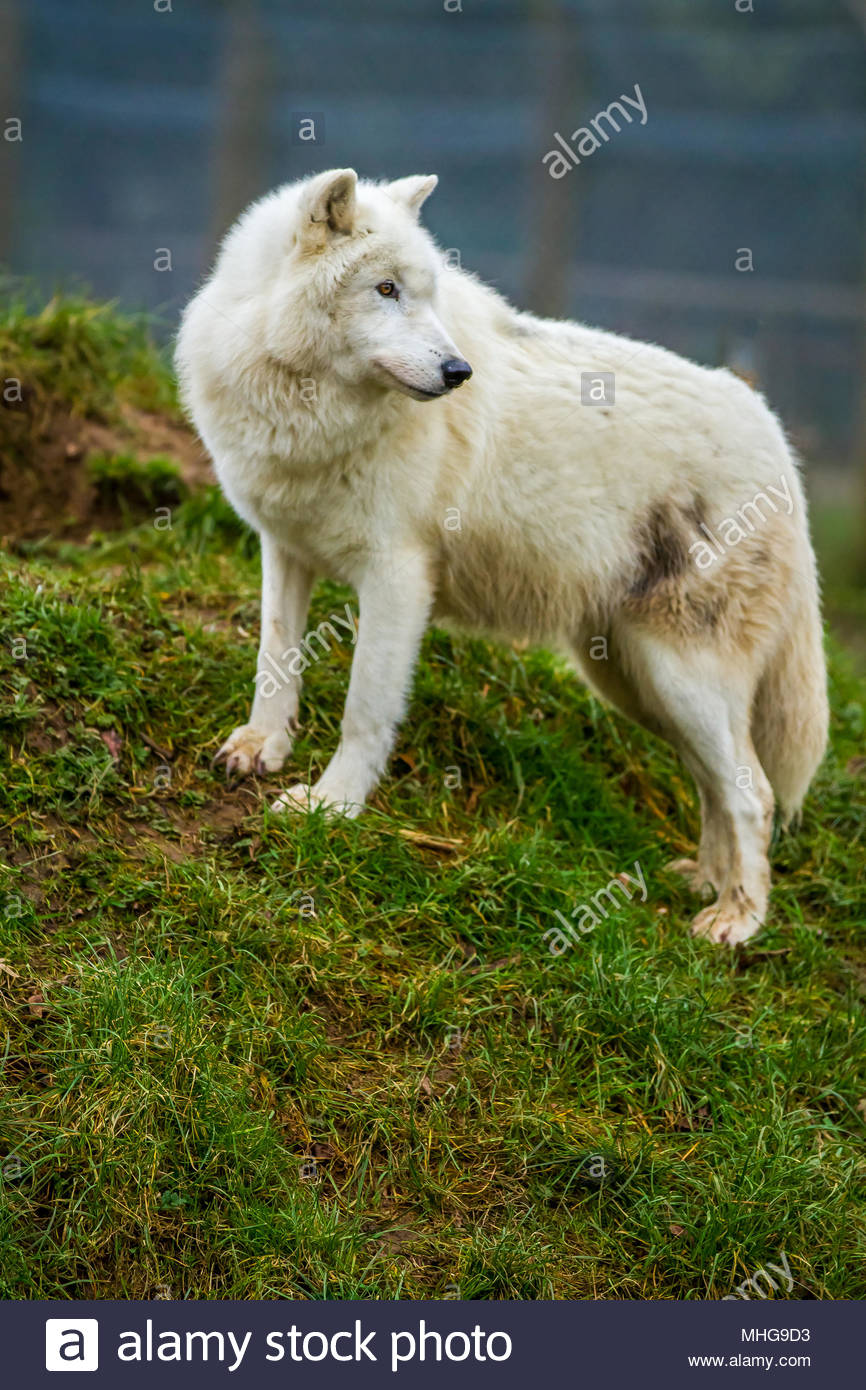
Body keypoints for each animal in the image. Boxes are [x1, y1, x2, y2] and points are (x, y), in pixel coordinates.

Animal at [175, 168, 828, 946]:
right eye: (386, 290)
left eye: (426, 293)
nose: (458, 370)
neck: (309, 411)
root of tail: (778, 443)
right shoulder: (284, 549)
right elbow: (275, 660)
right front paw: (260, 747)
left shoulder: (397, 578)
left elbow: (365, 708)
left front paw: (331, 808)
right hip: (637, 682)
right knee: (714, 784)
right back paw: (703, 881)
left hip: (683, 680)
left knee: (755, 794)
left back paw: (737, 919)